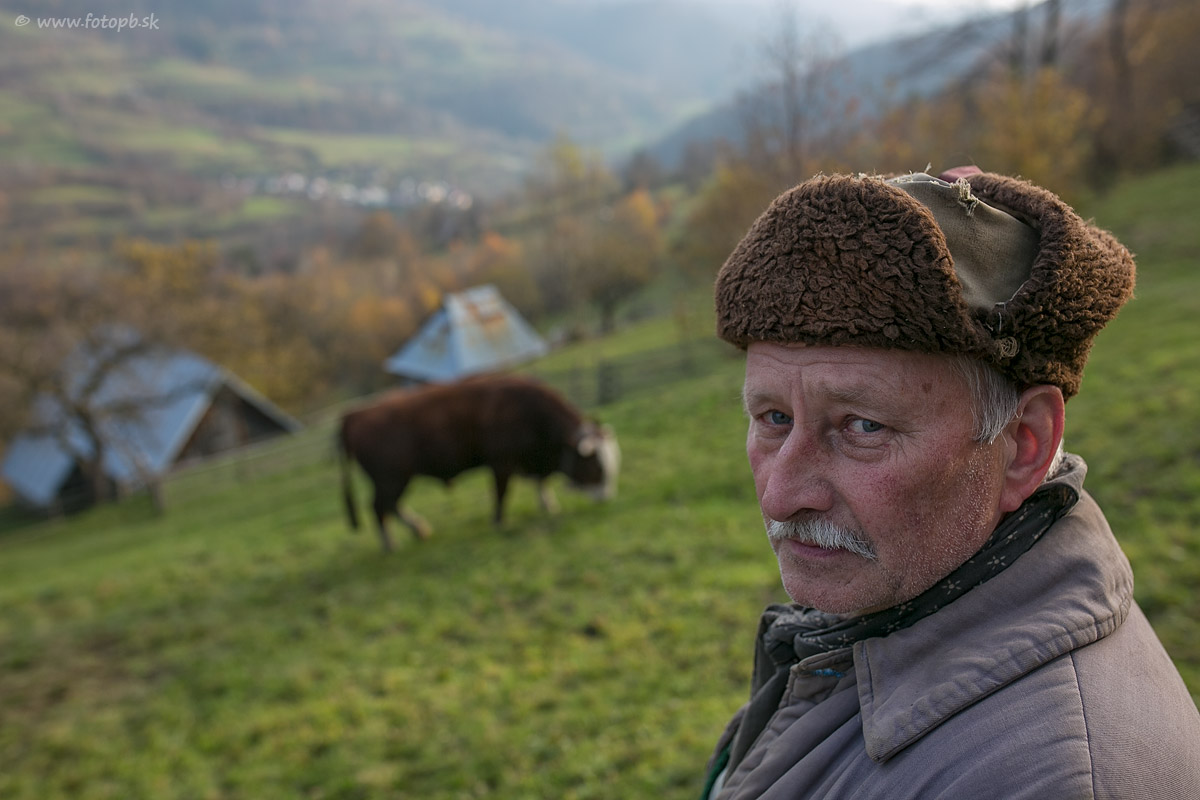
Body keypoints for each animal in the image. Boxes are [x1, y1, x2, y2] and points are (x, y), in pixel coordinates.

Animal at [337, 374, 620, 551]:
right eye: (596, 466)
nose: (606, 497)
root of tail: (355, 413)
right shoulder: (502, 462)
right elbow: (502, 492)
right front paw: (499, 522)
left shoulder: (531, 459)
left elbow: (542, 482)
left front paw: (548, 504)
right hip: (392, 479)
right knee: (379, 507)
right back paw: (391, 545)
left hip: (395, 479)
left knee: (390, 506)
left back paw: (418, 530)